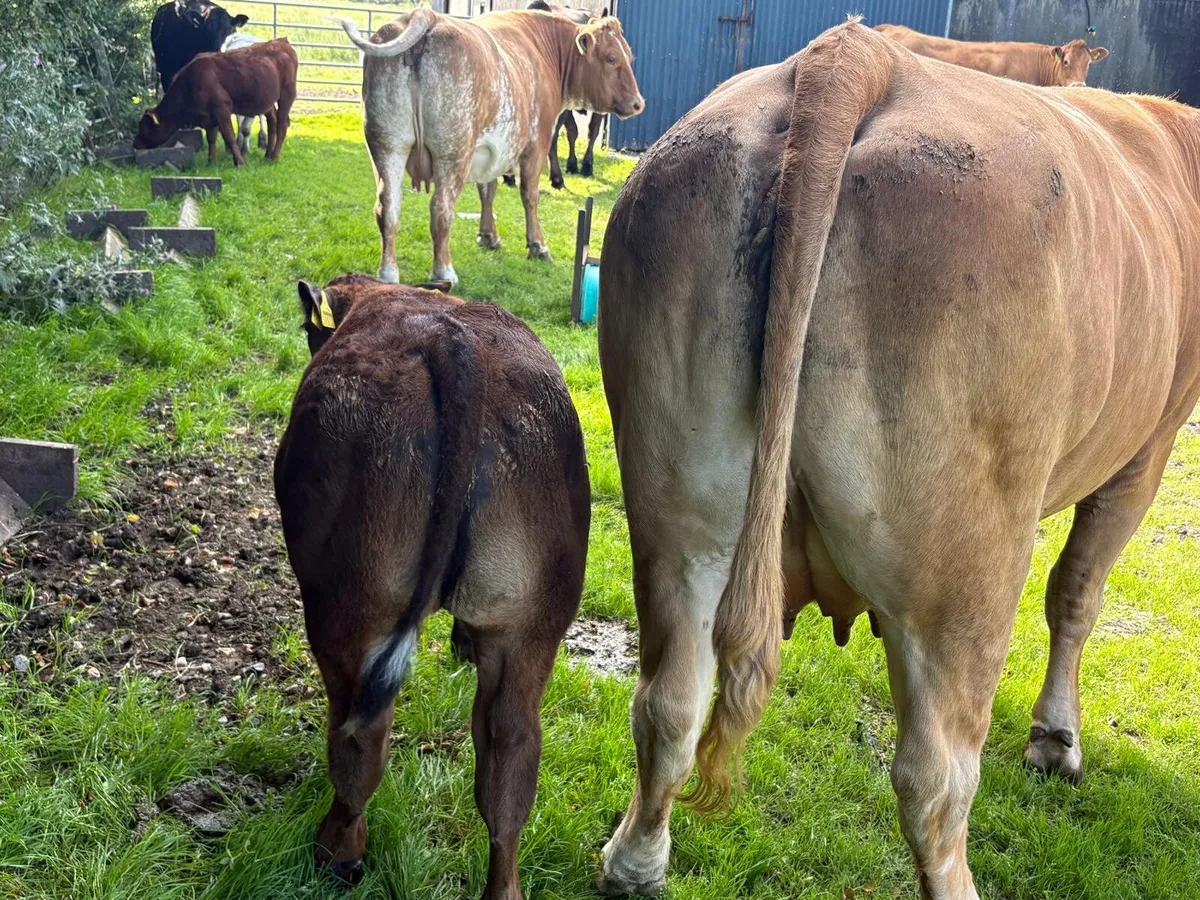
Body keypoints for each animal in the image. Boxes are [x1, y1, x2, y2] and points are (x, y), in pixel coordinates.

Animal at [134, 38, 297, 166]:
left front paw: (239, 162)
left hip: (287, 94)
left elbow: (229, 136)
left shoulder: (222, 109)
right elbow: (211, 138)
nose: (135, 144)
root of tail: (281, 42)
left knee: (282, 124)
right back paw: (268, 154)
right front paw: (211, 161)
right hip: (267, 100)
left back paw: (274, 156)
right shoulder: (209, 116)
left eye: (143, 128)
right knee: (272, 122)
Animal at [274, 273, 590, 897]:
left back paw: (338, 850)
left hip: (345, 606)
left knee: (360, 735)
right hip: (531, 626)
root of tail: (448, 339)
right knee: (510, 756)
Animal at [338, 8, 643, 286]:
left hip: (386, 145)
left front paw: (488, 236)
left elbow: (488, 189)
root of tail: (426, 15)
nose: (638, 103)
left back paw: (388, 274)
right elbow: (529, 195)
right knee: (441, 208)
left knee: (387, 207)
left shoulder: (489, 148)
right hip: (452, 151)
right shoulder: (537, 142)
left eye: (629, 56)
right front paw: (538, 246)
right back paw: (443, 271)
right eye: (611, 57)